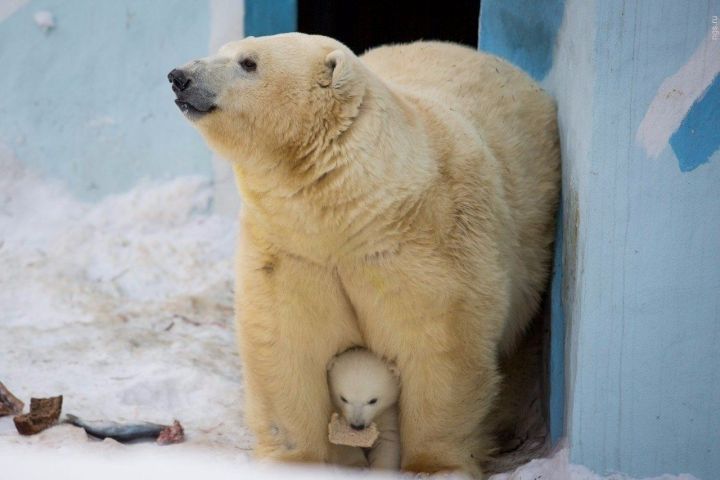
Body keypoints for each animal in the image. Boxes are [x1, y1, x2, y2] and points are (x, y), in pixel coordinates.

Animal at [170, 31, 564, 478]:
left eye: (248, 62)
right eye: (224, 51)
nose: (179, 77)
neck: (356, 208)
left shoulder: (430, 244)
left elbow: (442, 347)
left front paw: (436, 465)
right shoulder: (294, 249)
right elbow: (286, 343)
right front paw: (294, 460)